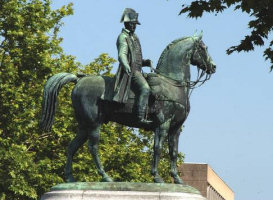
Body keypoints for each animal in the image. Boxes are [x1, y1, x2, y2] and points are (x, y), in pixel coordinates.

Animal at [39, 34, 215, 184]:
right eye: (203, 48)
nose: (213, 66)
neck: (172, 84)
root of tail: (79, 80)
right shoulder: (163, 124)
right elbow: (158, 149)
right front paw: (157, 177)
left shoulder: (175, 128)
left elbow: (173, 152)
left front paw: (177, 179)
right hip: (93, 123)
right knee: (93, 147)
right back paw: (105, 177)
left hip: (84, 125)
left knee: (71, 147)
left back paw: (70, 178)